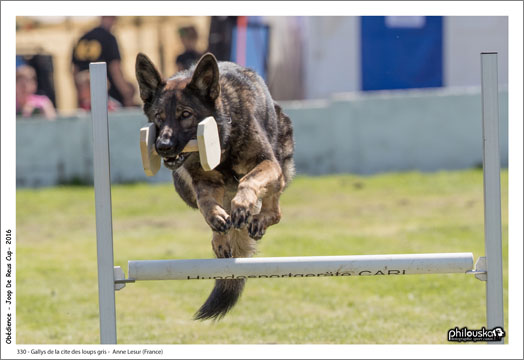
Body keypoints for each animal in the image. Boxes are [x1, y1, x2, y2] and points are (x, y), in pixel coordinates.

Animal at [135, 52, 294, 320]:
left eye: (185, 114)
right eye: (158, 117)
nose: (163, 147)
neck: (223, 140)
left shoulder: (267, 163)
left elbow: (250, 180)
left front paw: (243, 205)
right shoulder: (203, 180)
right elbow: (205, 202)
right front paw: (216, 218)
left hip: (280, 163)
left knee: (275, 210)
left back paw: (258, 218)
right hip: (183, 182)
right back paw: (220, 235)